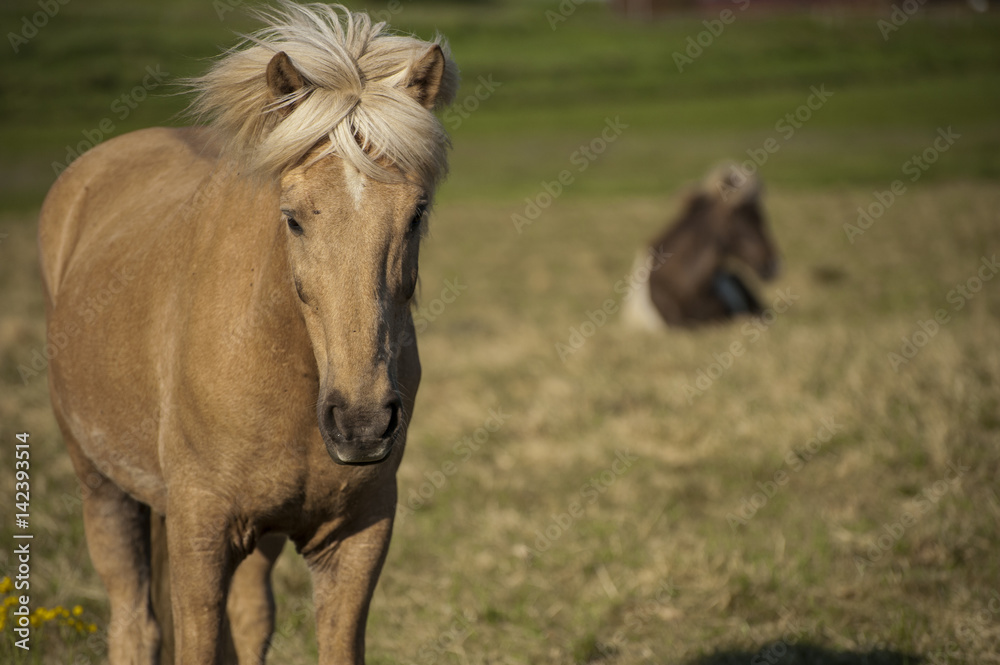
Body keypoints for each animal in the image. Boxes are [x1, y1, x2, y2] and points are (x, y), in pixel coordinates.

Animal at [37, 3, 458, 663]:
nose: (362, 423)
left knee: (250, 616)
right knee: (134, 621)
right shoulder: (201, 536)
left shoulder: (357, 538)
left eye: (415, 215)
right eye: (293, 218)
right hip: (102, 487)